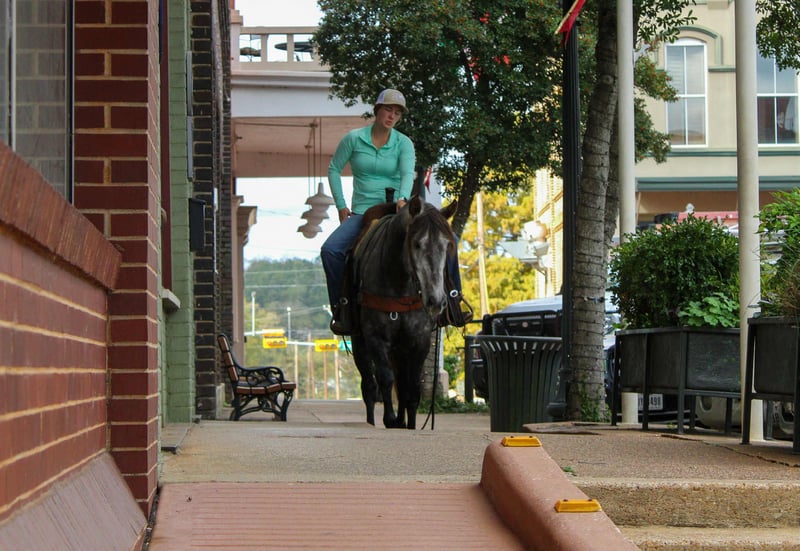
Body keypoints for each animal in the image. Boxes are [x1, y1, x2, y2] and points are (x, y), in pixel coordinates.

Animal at [350, 195, 457, 429]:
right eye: (417, 244)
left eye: (447, 245)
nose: (436, 301)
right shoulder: (375, 337)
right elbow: (385, 377)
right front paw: (389, 419)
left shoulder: (419, 340)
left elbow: (412, 388)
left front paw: (409, 423)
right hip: (359, 341)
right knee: (369, 386)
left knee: (401, 381)